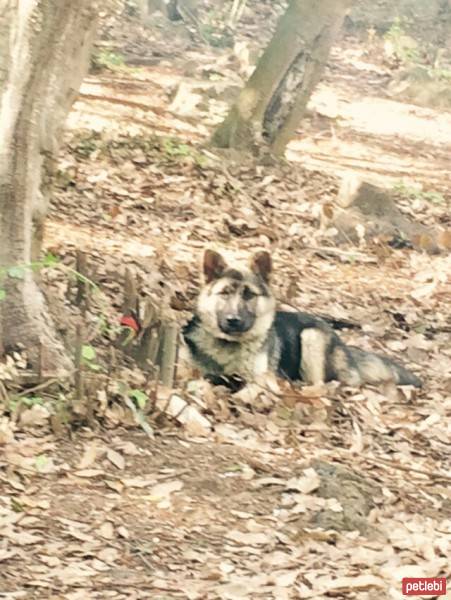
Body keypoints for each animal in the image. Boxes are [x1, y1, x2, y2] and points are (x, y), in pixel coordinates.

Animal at [182, 248, 422, 390]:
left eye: (249, 295)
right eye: (224, 293)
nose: (233, 320)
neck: (229, 345)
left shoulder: (261, 380)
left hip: (311, 337)